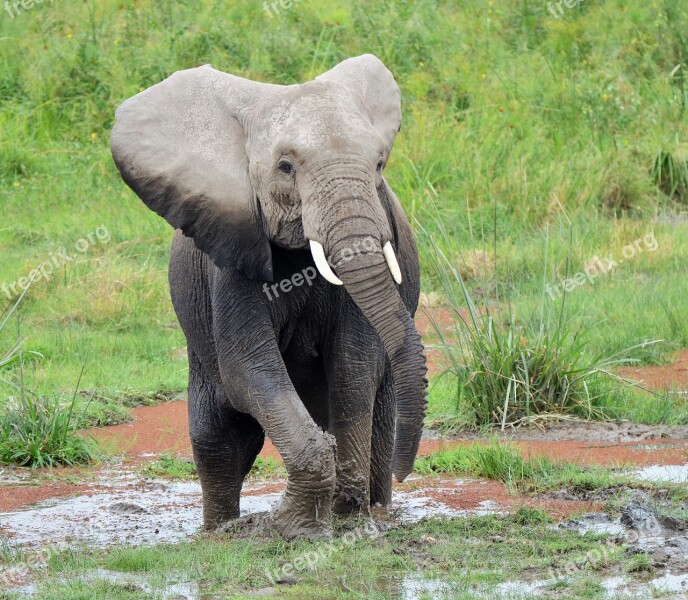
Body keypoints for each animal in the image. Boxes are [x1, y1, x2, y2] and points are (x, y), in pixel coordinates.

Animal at [110, 52, 428, 540]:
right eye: (286, 167)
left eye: (378, 166)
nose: (405, 470)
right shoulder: (231, 252)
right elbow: (250, 369)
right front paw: (294, 527)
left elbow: (354, 365)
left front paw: (345, 516)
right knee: (220, 437)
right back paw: (218, 530)